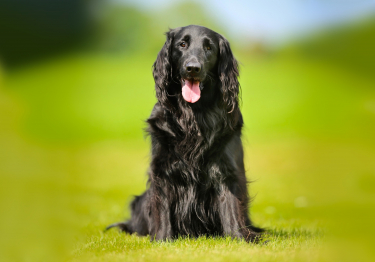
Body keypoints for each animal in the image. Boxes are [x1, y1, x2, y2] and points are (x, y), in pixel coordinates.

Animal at [107, 24, 262, 242]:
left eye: (209, 47)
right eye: (182, 44)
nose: (192, 68)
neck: (193, 117)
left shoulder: (227, 168)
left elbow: (231, 207)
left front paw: (239, 238)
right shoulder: (162, 168)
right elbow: (162, 208)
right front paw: (162, 240)